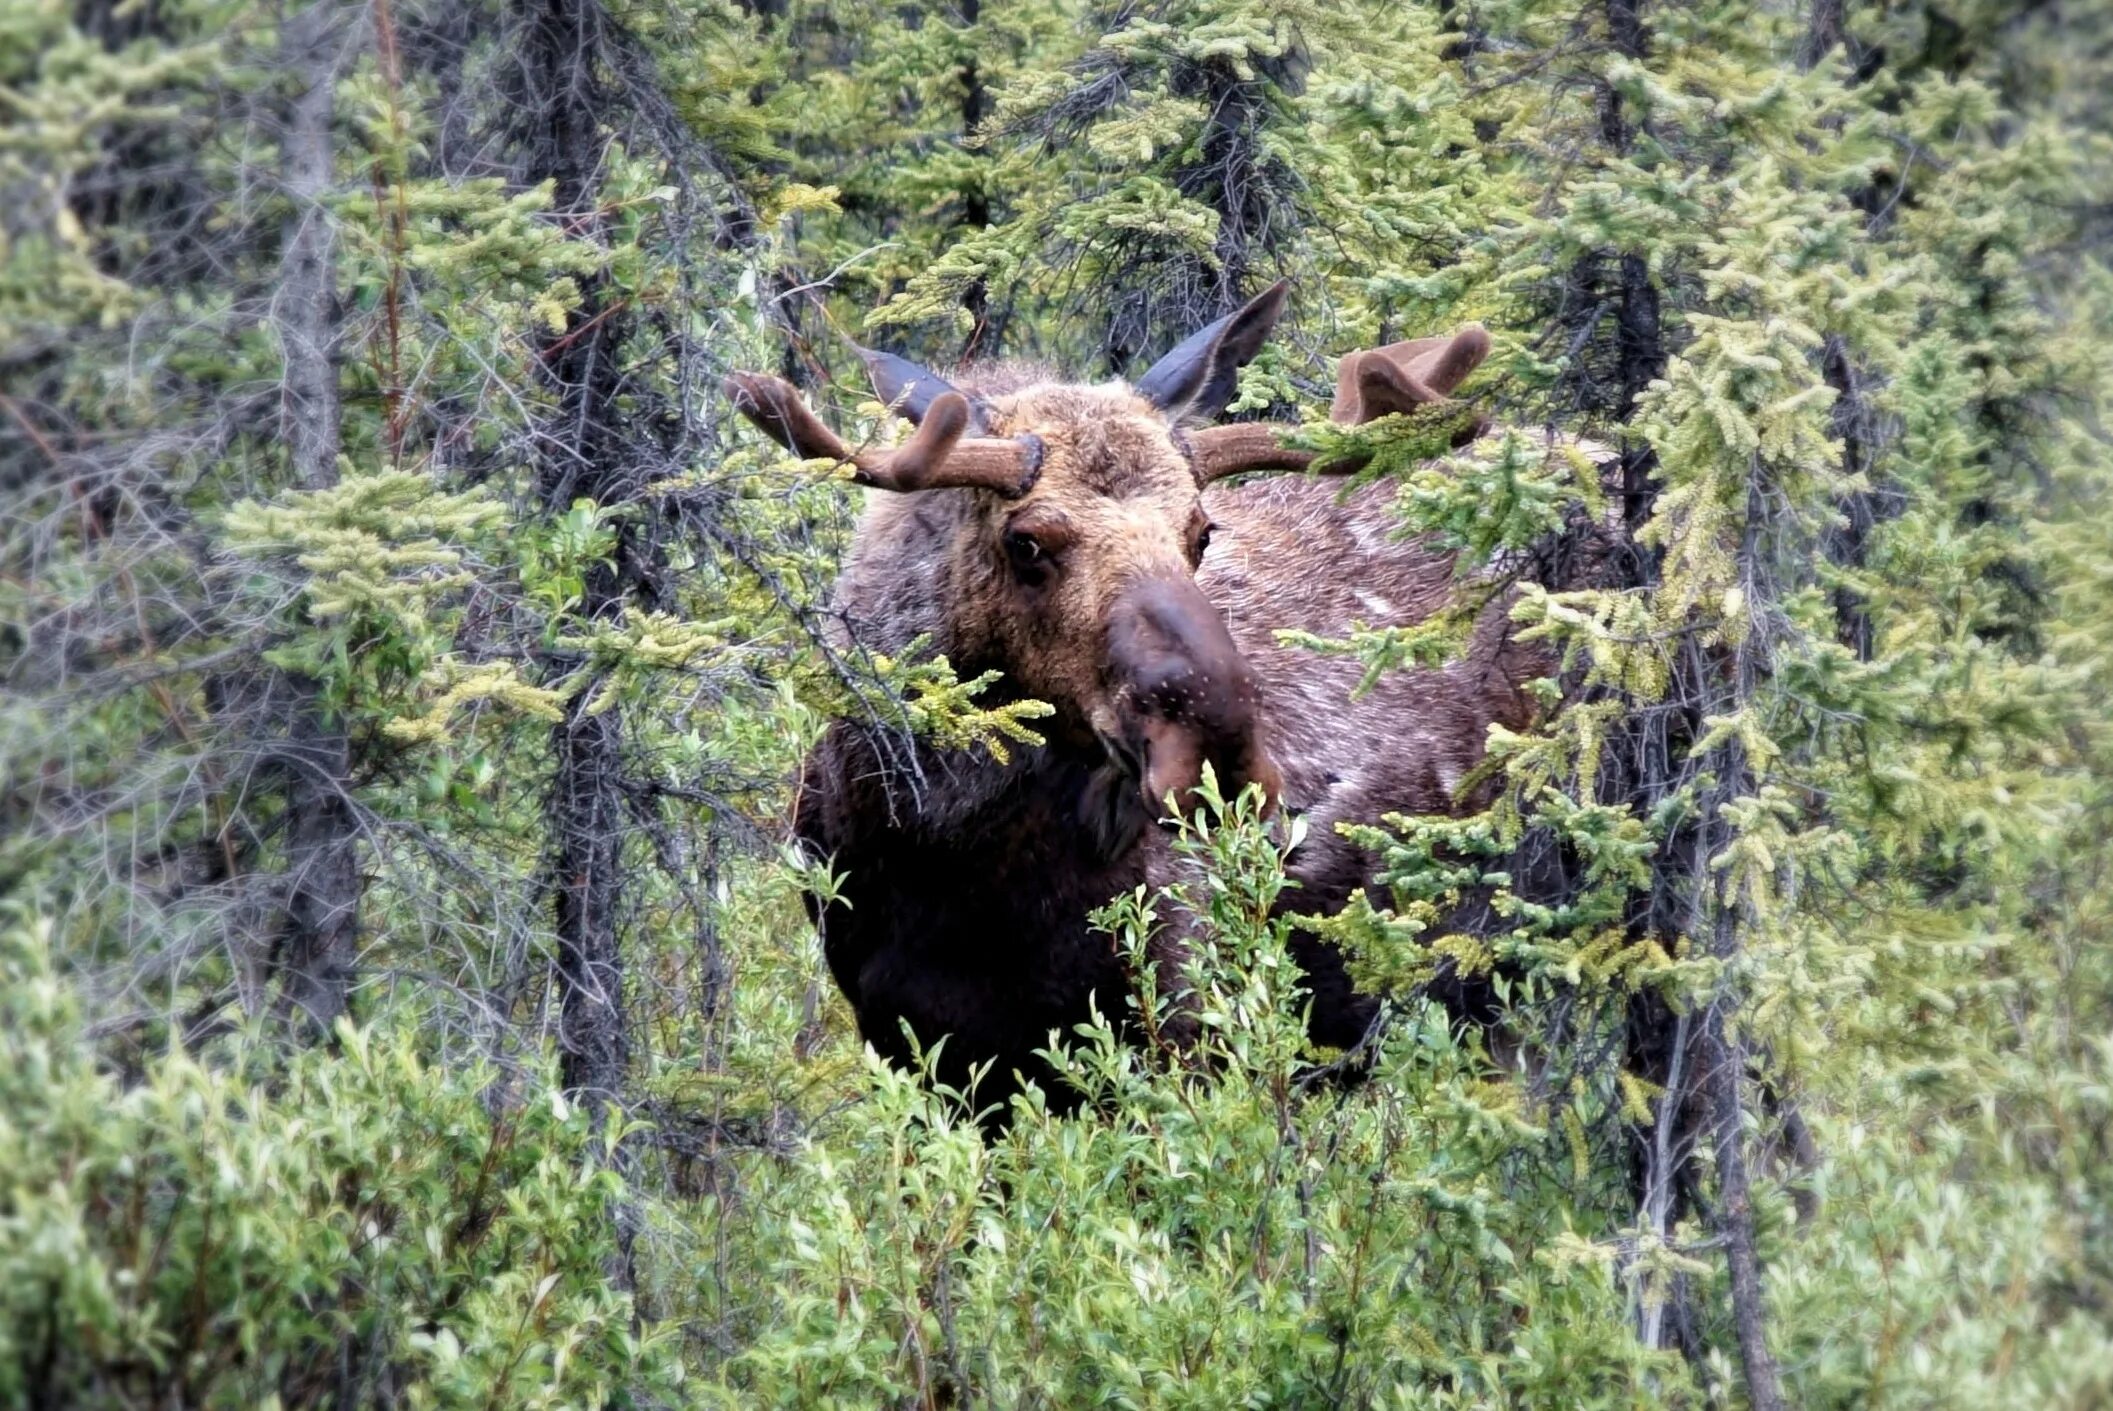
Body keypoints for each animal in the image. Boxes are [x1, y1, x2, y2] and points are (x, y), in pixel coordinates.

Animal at [726, 287, 1597, 1115]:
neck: (936, 852)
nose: (1217, 750)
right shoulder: (915, 1047)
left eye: (1200, 530)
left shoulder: (1185, 1019)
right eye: (1025, 542)